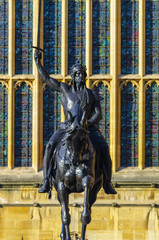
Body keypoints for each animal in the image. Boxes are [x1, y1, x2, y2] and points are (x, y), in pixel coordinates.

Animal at [49, 110, 103, 240]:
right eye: (68, 139)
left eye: (84, 139)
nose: (75, 161)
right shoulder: (61, 185)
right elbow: (65, 216)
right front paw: (67, 236)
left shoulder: (89, 179)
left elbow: (85, 211)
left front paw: (85, 217)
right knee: (64, 210)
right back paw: (63, 234)